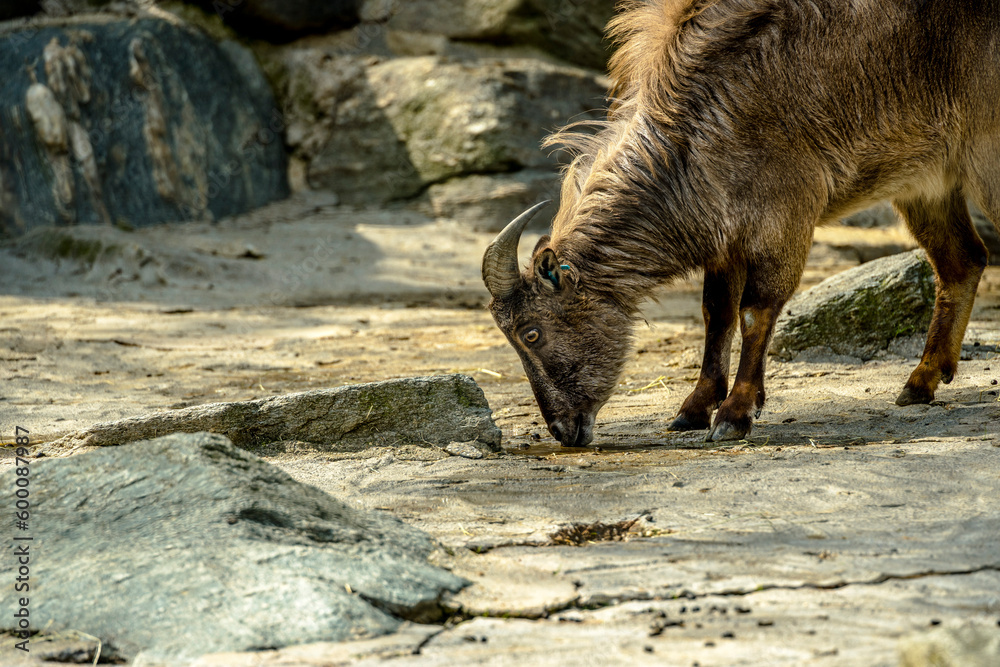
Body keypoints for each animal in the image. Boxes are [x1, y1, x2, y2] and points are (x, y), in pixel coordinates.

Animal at [482, 0, 1000, 446]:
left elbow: (756, 310)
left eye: (531, 332)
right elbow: (716, 313)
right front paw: (692, 408)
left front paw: (735, 413)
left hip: (985, 160)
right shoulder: (726, 237)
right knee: (963, 262)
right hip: (926, 184)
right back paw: (921, 382)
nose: (563, 430)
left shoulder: (786, 213)